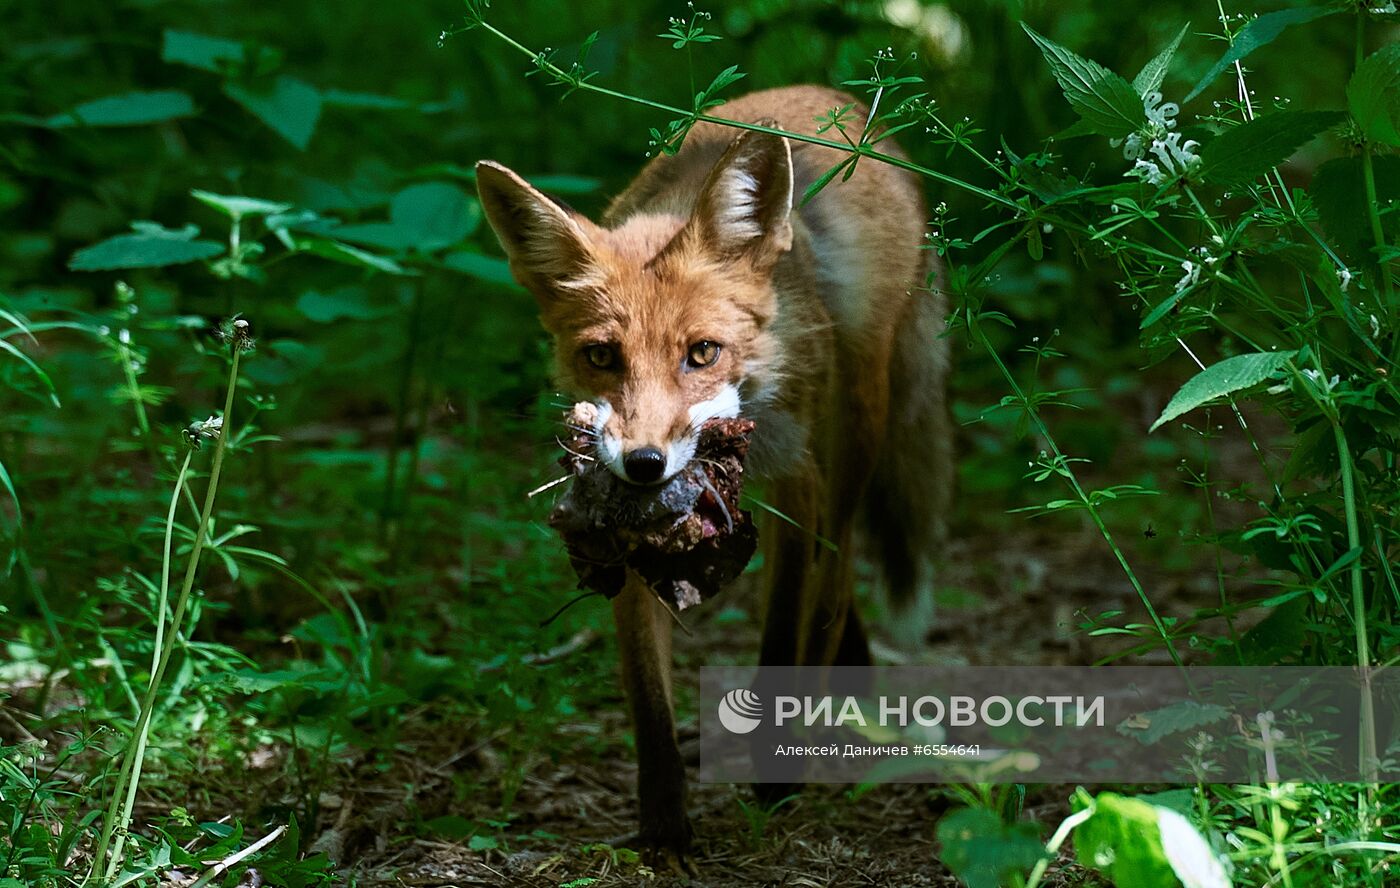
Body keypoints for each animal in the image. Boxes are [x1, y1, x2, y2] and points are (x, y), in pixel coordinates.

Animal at [478, 84, 952, 873]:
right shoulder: (623, 541)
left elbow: (782, 639)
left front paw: (775, 783)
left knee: (835, 580)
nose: (643, 465)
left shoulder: (798, 484)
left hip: (856, 437)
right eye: (601, 357)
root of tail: (836, 97)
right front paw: (664, 834)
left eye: (702, 353)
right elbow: (648, 703)